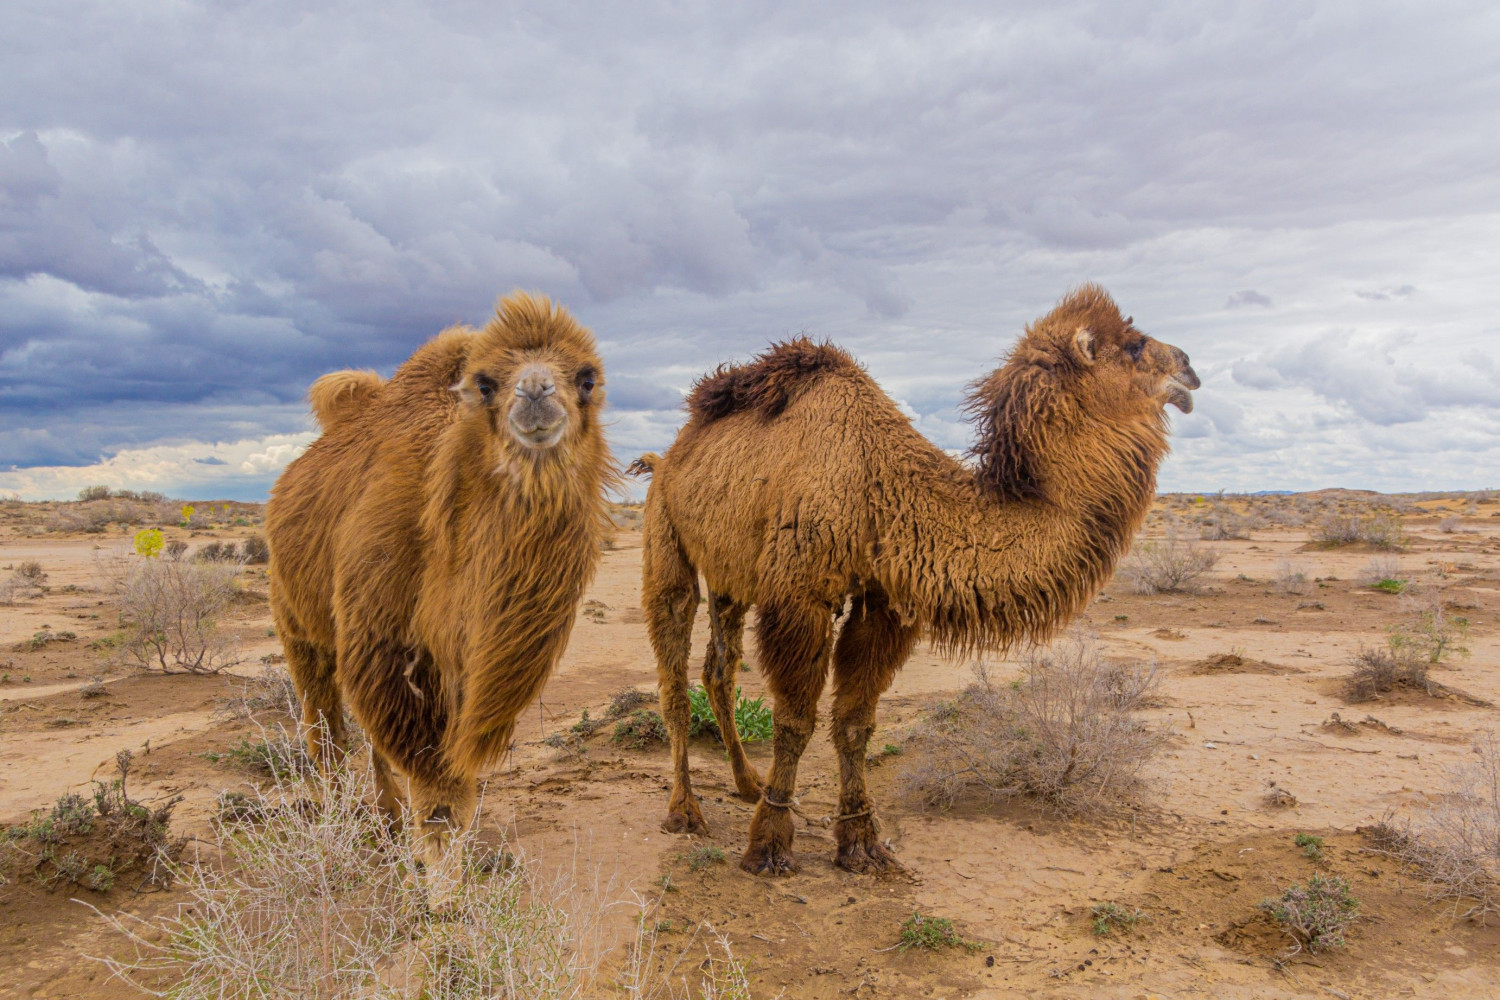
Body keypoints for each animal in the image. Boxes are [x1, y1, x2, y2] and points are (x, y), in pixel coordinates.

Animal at [639, 283, 1200, 875]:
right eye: (1134, 346)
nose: (1189, 366)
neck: (883, 488)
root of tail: (670, 454)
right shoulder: (800, 595)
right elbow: (794, 720)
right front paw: (769, 844)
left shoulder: (885, 602)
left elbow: (854, 722)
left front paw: (861, 842)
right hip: (665, 535)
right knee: (674, 667)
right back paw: (685, 811)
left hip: (731, 577)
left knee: (718, 670)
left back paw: (746, 783)